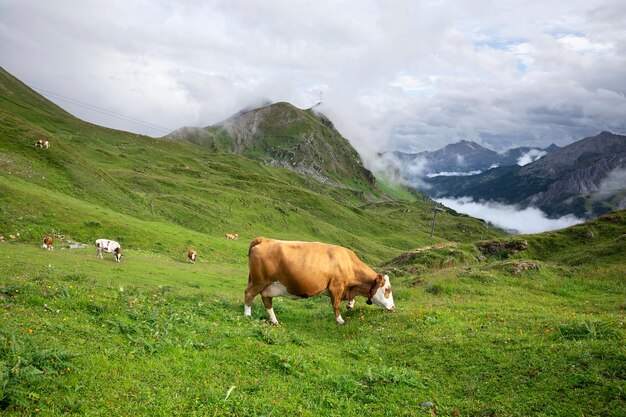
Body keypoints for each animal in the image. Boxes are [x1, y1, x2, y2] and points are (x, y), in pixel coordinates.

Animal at [245, 237, 394, 324]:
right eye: (386, 290)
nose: (393, 308)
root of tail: (264, 239)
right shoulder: (336, 286)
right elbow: (336, 305)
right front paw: (340, 320)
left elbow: (350, 300)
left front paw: (350, 305)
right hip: (259, 281)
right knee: (248, 294)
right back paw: (247, 315)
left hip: (269, 285)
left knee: (266, 300)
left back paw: (274, 320)